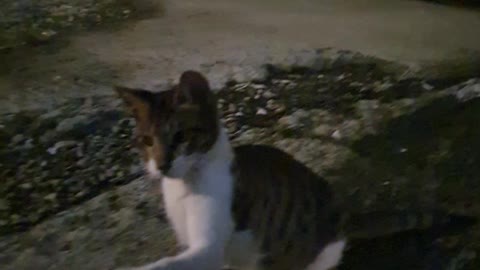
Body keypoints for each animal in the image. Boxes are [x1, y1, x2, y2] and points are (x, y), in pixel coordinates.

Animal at [113, 70, 476, 268]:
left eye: (180, 136)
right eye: (146, 141)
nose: (161, 164)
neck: (186, 185)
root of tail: (344, 213)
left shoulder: (211, 243)